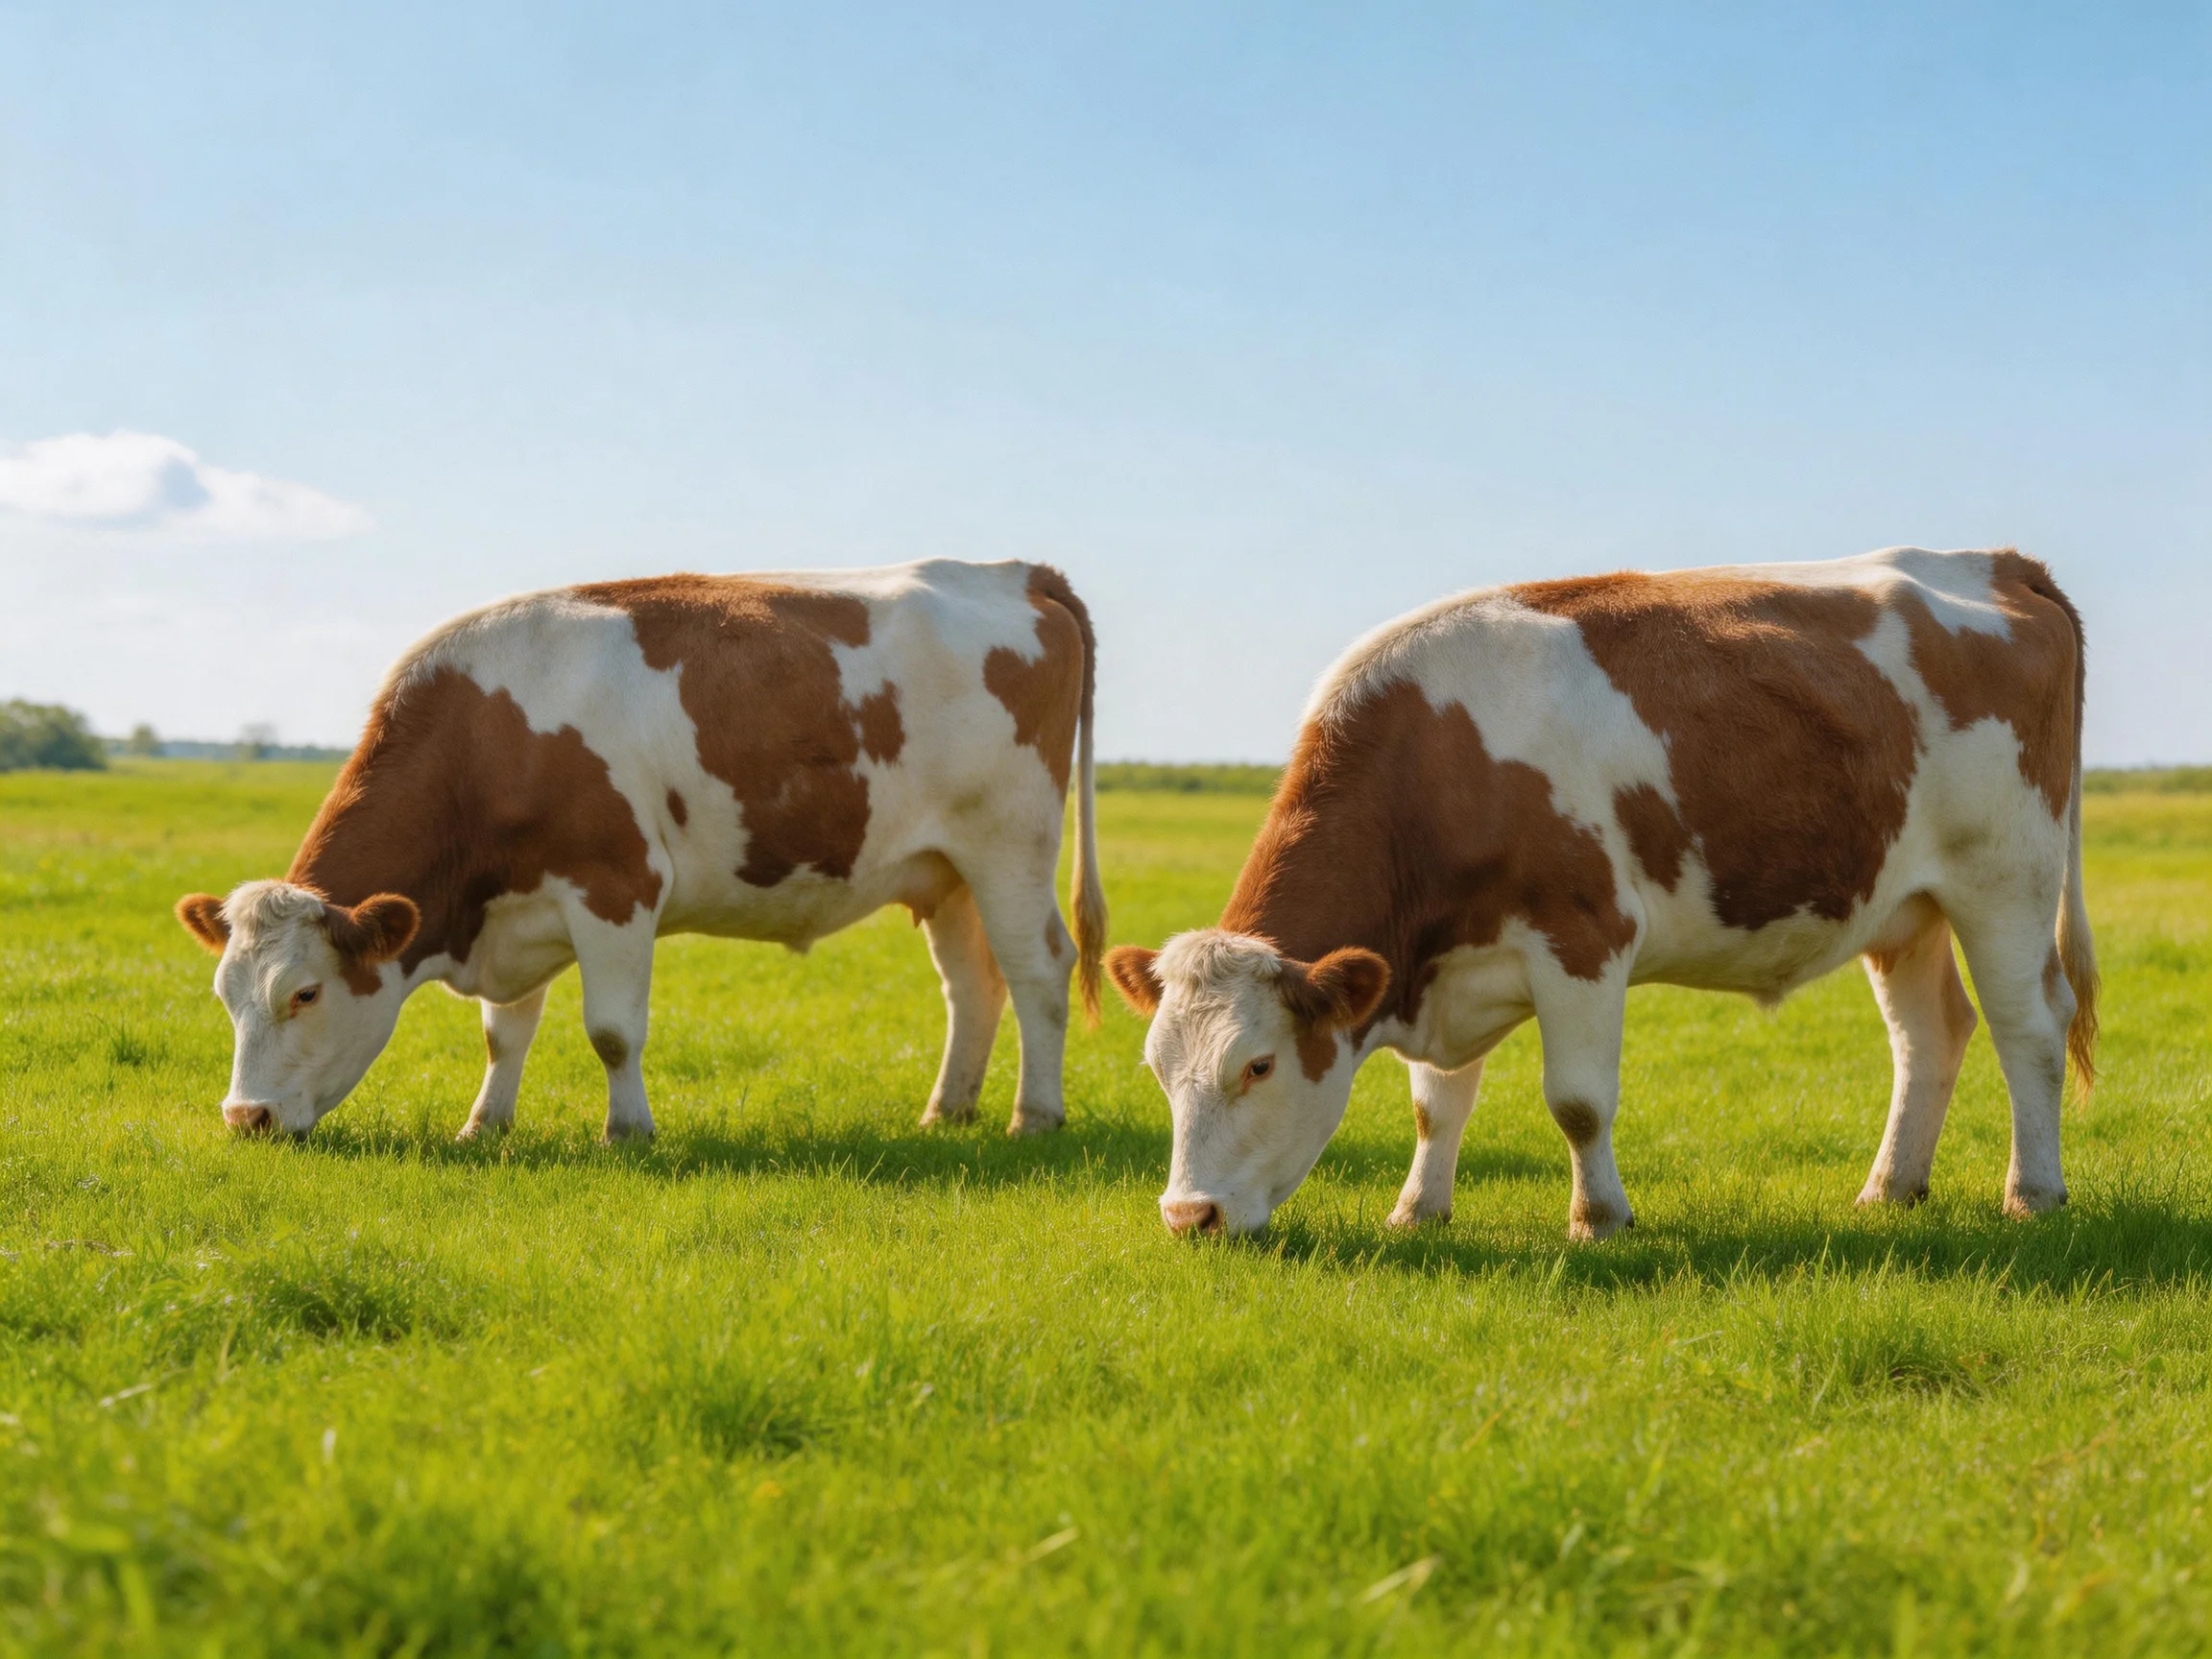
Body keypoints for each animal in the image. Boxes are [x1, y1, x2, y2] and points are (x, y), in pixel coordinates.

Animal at [175, 559, 1106, 1142]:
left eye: (303, 994)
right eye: (225, 997)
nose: (245, 1119)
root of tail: (1009, 570)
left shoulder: (615, 887)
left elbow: (613, 1031)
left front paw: (627, 1130)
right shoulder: (519, 907)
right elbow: (505, 1033)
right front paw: (484, 1125)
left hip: (1012, 844)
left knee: (1040, 969)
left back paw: (1035, 1116)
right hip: (946, 871)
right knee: (973, 985)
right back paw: (947, 1112)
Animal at [1106, 547, 2097, 1240]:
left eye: (1258, 1066)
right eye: (1156, 1069)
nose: (1187, 1218)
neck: (1440, 763)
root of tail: (1995, 560)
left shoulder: (1582, 940)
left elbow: (1578, 1101)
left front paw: (1599, 1218)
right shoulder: (1437, 962)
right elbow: (1436, 1104)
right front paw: (1418, 1211)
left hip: (2004, 880)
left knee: (2029, 1027)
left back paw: (2033, 1193)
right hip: (1904, 906)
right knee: (1930, 1035)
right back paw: (1890, 1190)